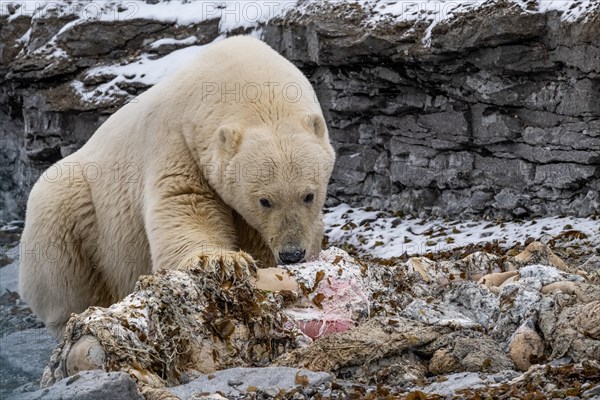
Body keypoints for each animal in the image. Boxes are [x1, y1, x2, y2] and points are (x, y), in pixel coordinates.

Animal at [18, 36, 336, 338]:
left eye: (309, 195)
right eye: (265, 200)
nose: (292, 253)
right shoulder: (179, 140)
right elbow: (185, 201)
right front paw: (222, 261)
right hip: (75, 212)